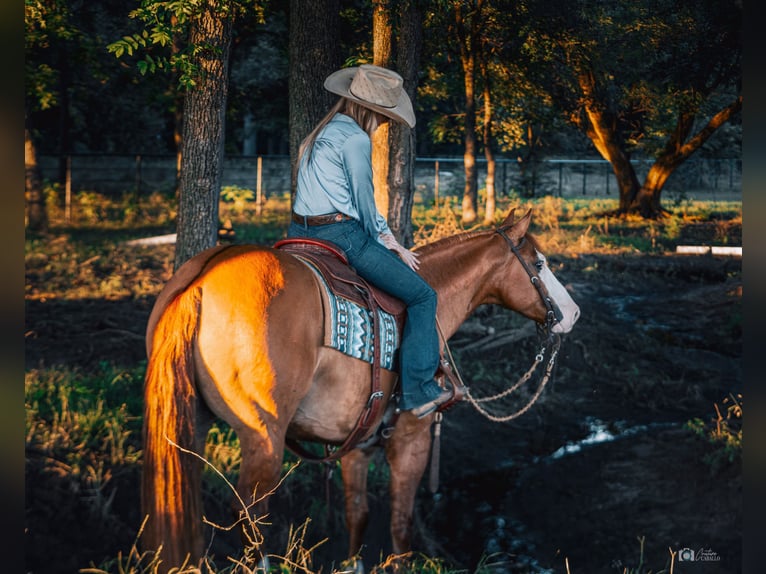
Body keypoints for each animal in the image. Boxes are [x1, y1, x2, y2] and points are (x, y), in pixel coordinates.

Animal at [140, 207, 584, 572]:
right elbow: (401, 526)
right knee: (251, 514)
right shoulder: (411, 439)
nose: (574, 314)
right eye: (539, 263)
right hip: (264, 437)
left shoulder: (356, 445)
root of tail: (201, 279)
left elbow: (358, 514)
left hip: (191, 425)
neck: (434, 302)